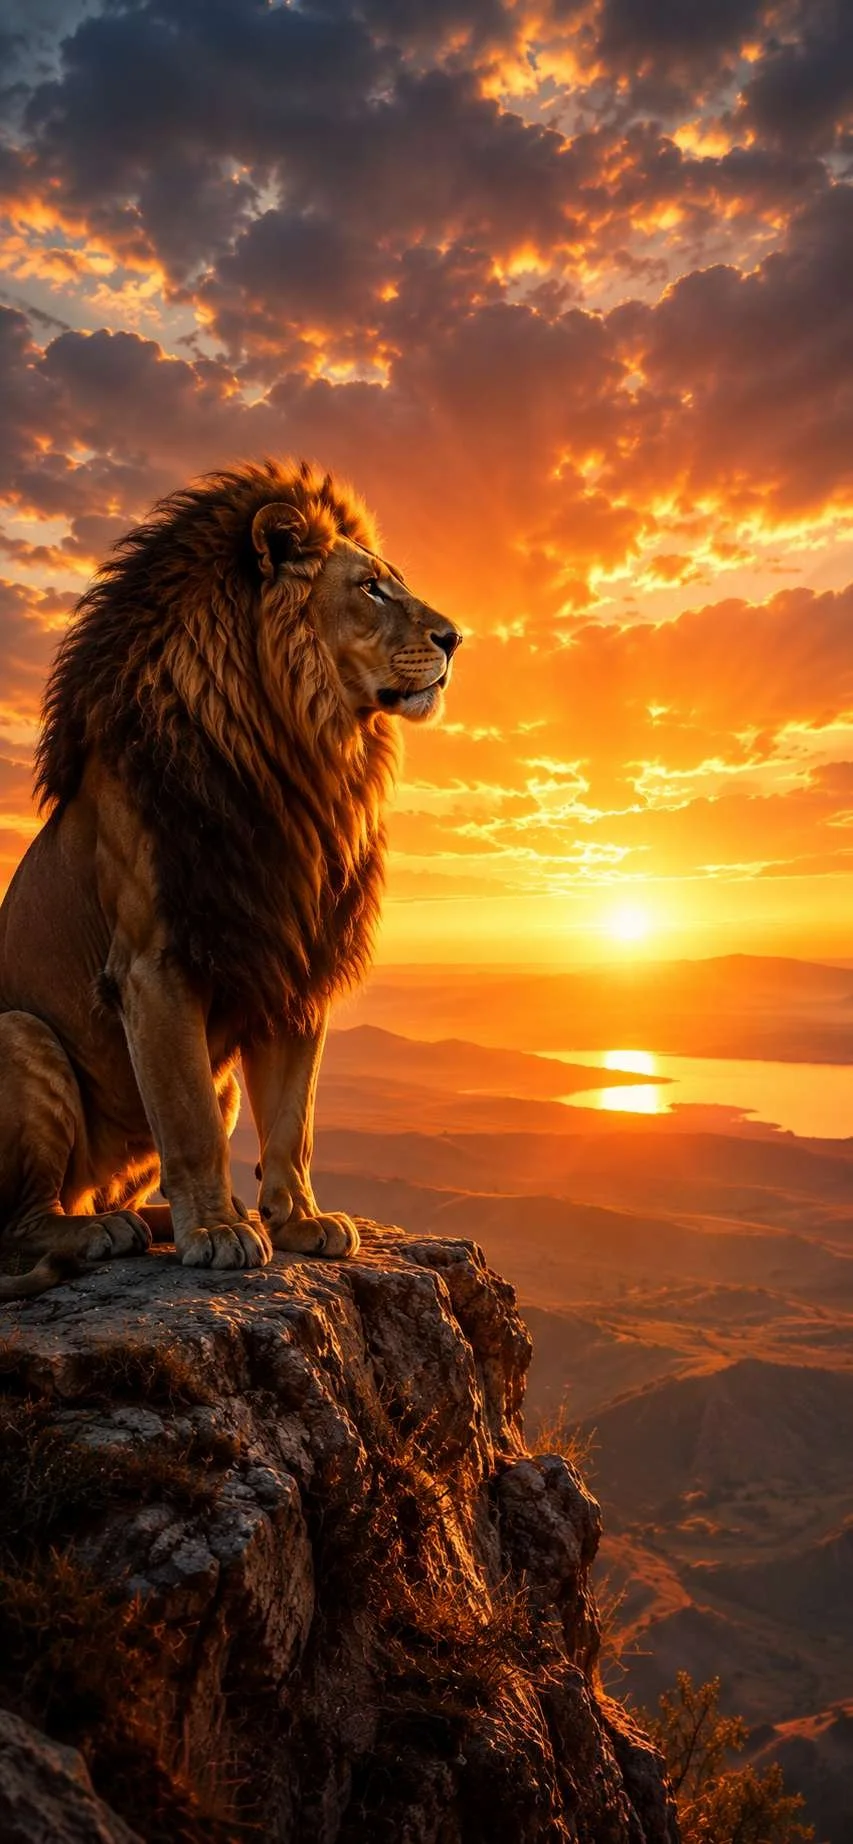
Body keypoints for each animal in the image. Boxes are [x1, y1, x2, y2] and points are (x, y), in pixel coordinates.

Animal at [0, 460, 461, 1299]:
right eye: (371, 589)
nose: (455, 637)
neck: (300, 760)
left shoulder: (294, 953)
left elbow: (292, 1116)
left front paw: (298, 1219)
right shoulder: (154, 963)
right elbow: (190, 1122)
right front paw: (216, 1231)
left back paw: (149, 1220)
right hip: (19, 1033)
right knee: (22, 1222)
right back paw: (100, 1232)